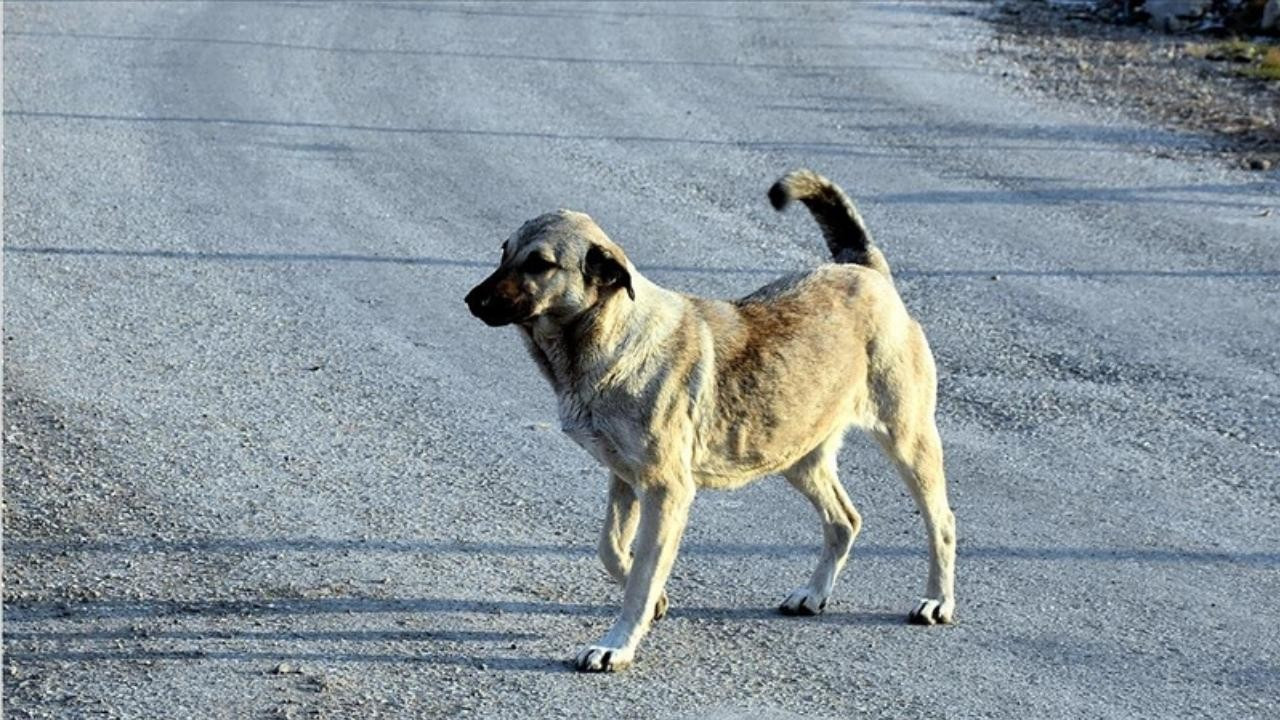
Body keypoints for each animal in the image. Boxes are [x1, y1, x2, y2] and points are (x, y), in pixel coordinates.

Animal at [465, 170, 957, 671]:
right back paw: (815, 593)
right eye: (504, 251)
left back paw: (938, 600)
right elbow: (611, 549)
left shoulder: (666, 491)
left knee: (942, 521)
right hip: (797, 455)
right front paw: (655, 601)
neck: (613, 336)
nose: (471, 300)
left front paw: (618, 644)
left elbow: (641, 579)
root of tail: (866, 270)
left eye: (539, 264)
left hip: (907, 441)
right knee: (844, 520)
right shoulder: (625, 480)